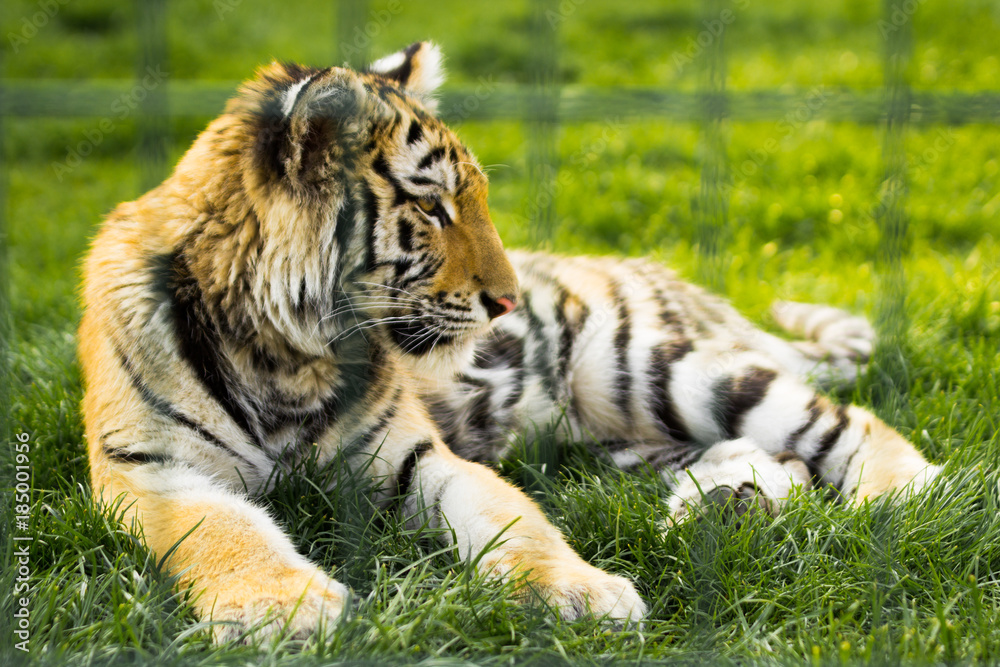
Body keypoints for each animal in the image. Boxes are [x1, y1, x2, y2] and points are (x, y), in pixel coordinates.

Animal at [78, 41, 940, 644]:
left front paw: (584, 594)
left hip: (648, 365)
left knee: (844, 422)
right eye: (432, 208)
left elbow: (516, 518)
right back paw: (722, 507)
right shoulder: (152, 471)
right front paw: (286, 611)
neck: (290, 353)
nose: (508, 301)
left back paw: (900, 500)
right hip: (620, 436)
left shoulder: (415, 455)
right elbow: (227, 536)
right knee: (766, 454)